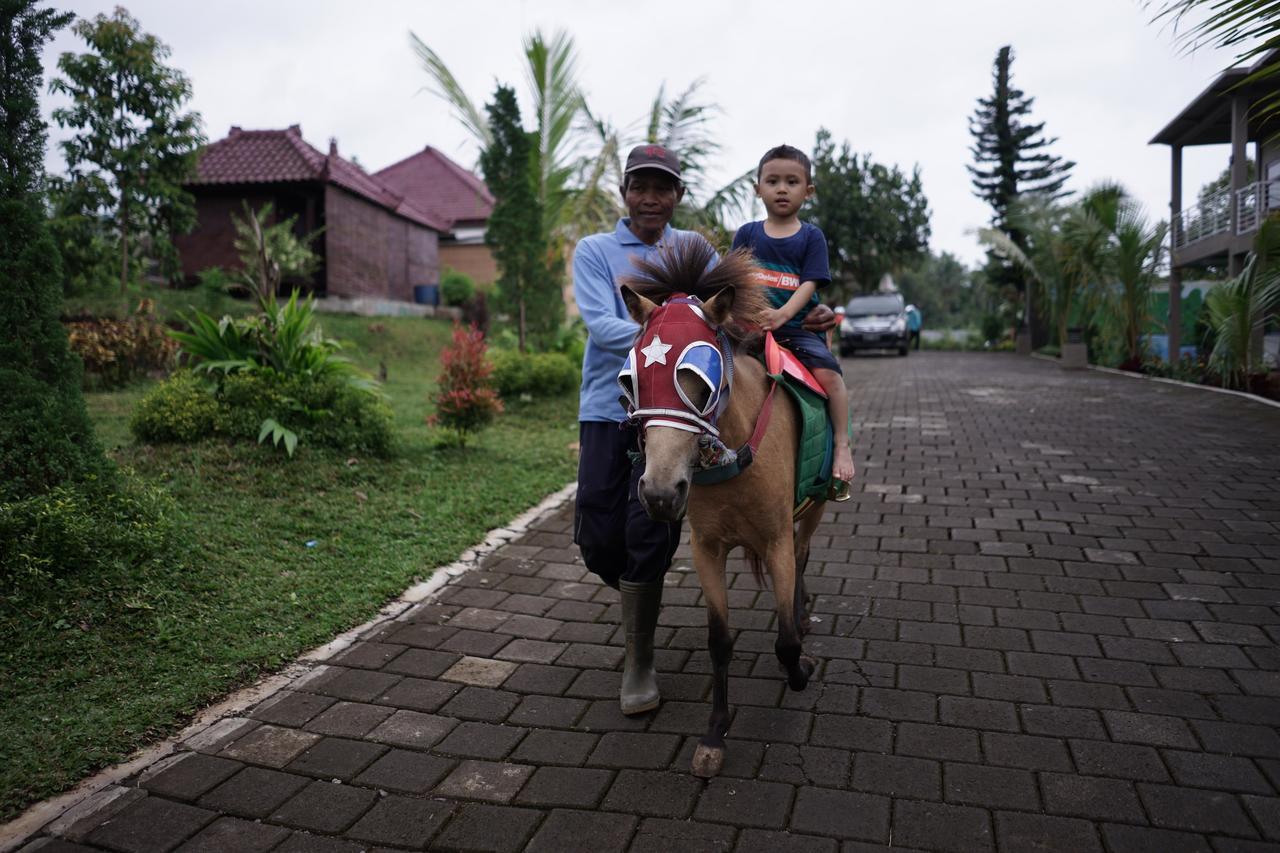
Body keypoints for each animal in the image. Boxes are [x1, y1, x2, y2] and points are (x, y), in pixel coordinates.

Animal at [622, 239, 829, 778]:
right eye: (630, 379)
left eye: (699, 377)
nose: (659, 493)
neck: (731, 457)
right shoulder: (707, 549)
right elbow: (719, 641)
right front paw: (715, 734)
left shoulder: (774, 540)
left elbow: (785, 642)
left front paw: (801, 668)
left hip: (817, 504)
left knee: (802, 555)